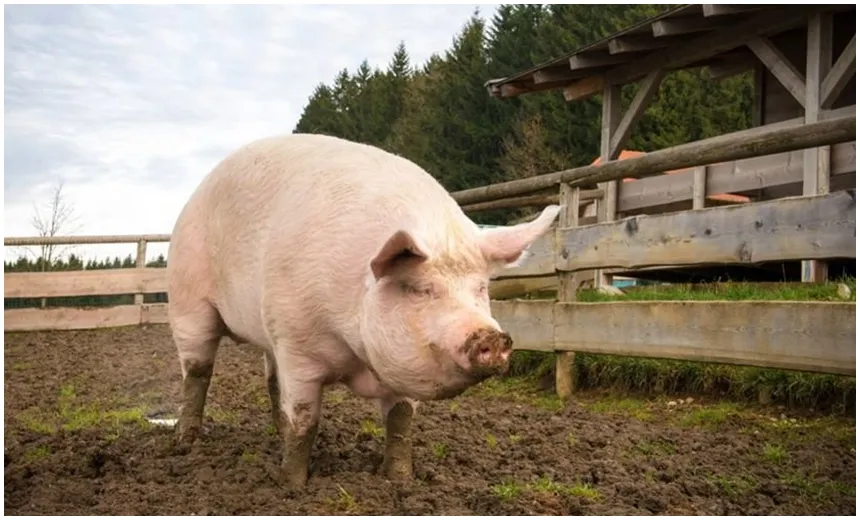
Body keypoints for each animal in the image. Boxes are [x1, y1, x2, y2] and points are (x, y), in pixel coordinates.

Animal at [166, 133, 560, 488]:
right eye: (421, 290)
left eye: (480, 288)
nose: (491, 336)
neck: (355, 354)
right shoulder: (297, 343)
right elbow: (305, 421)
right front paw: (290, 486)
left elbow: (400, 421)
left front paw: (400, 481)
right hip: (187, 300)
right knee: (198, 371)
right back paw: (186, 444)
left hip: (267, 330)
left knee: (271, 378)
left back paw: (273, 433)